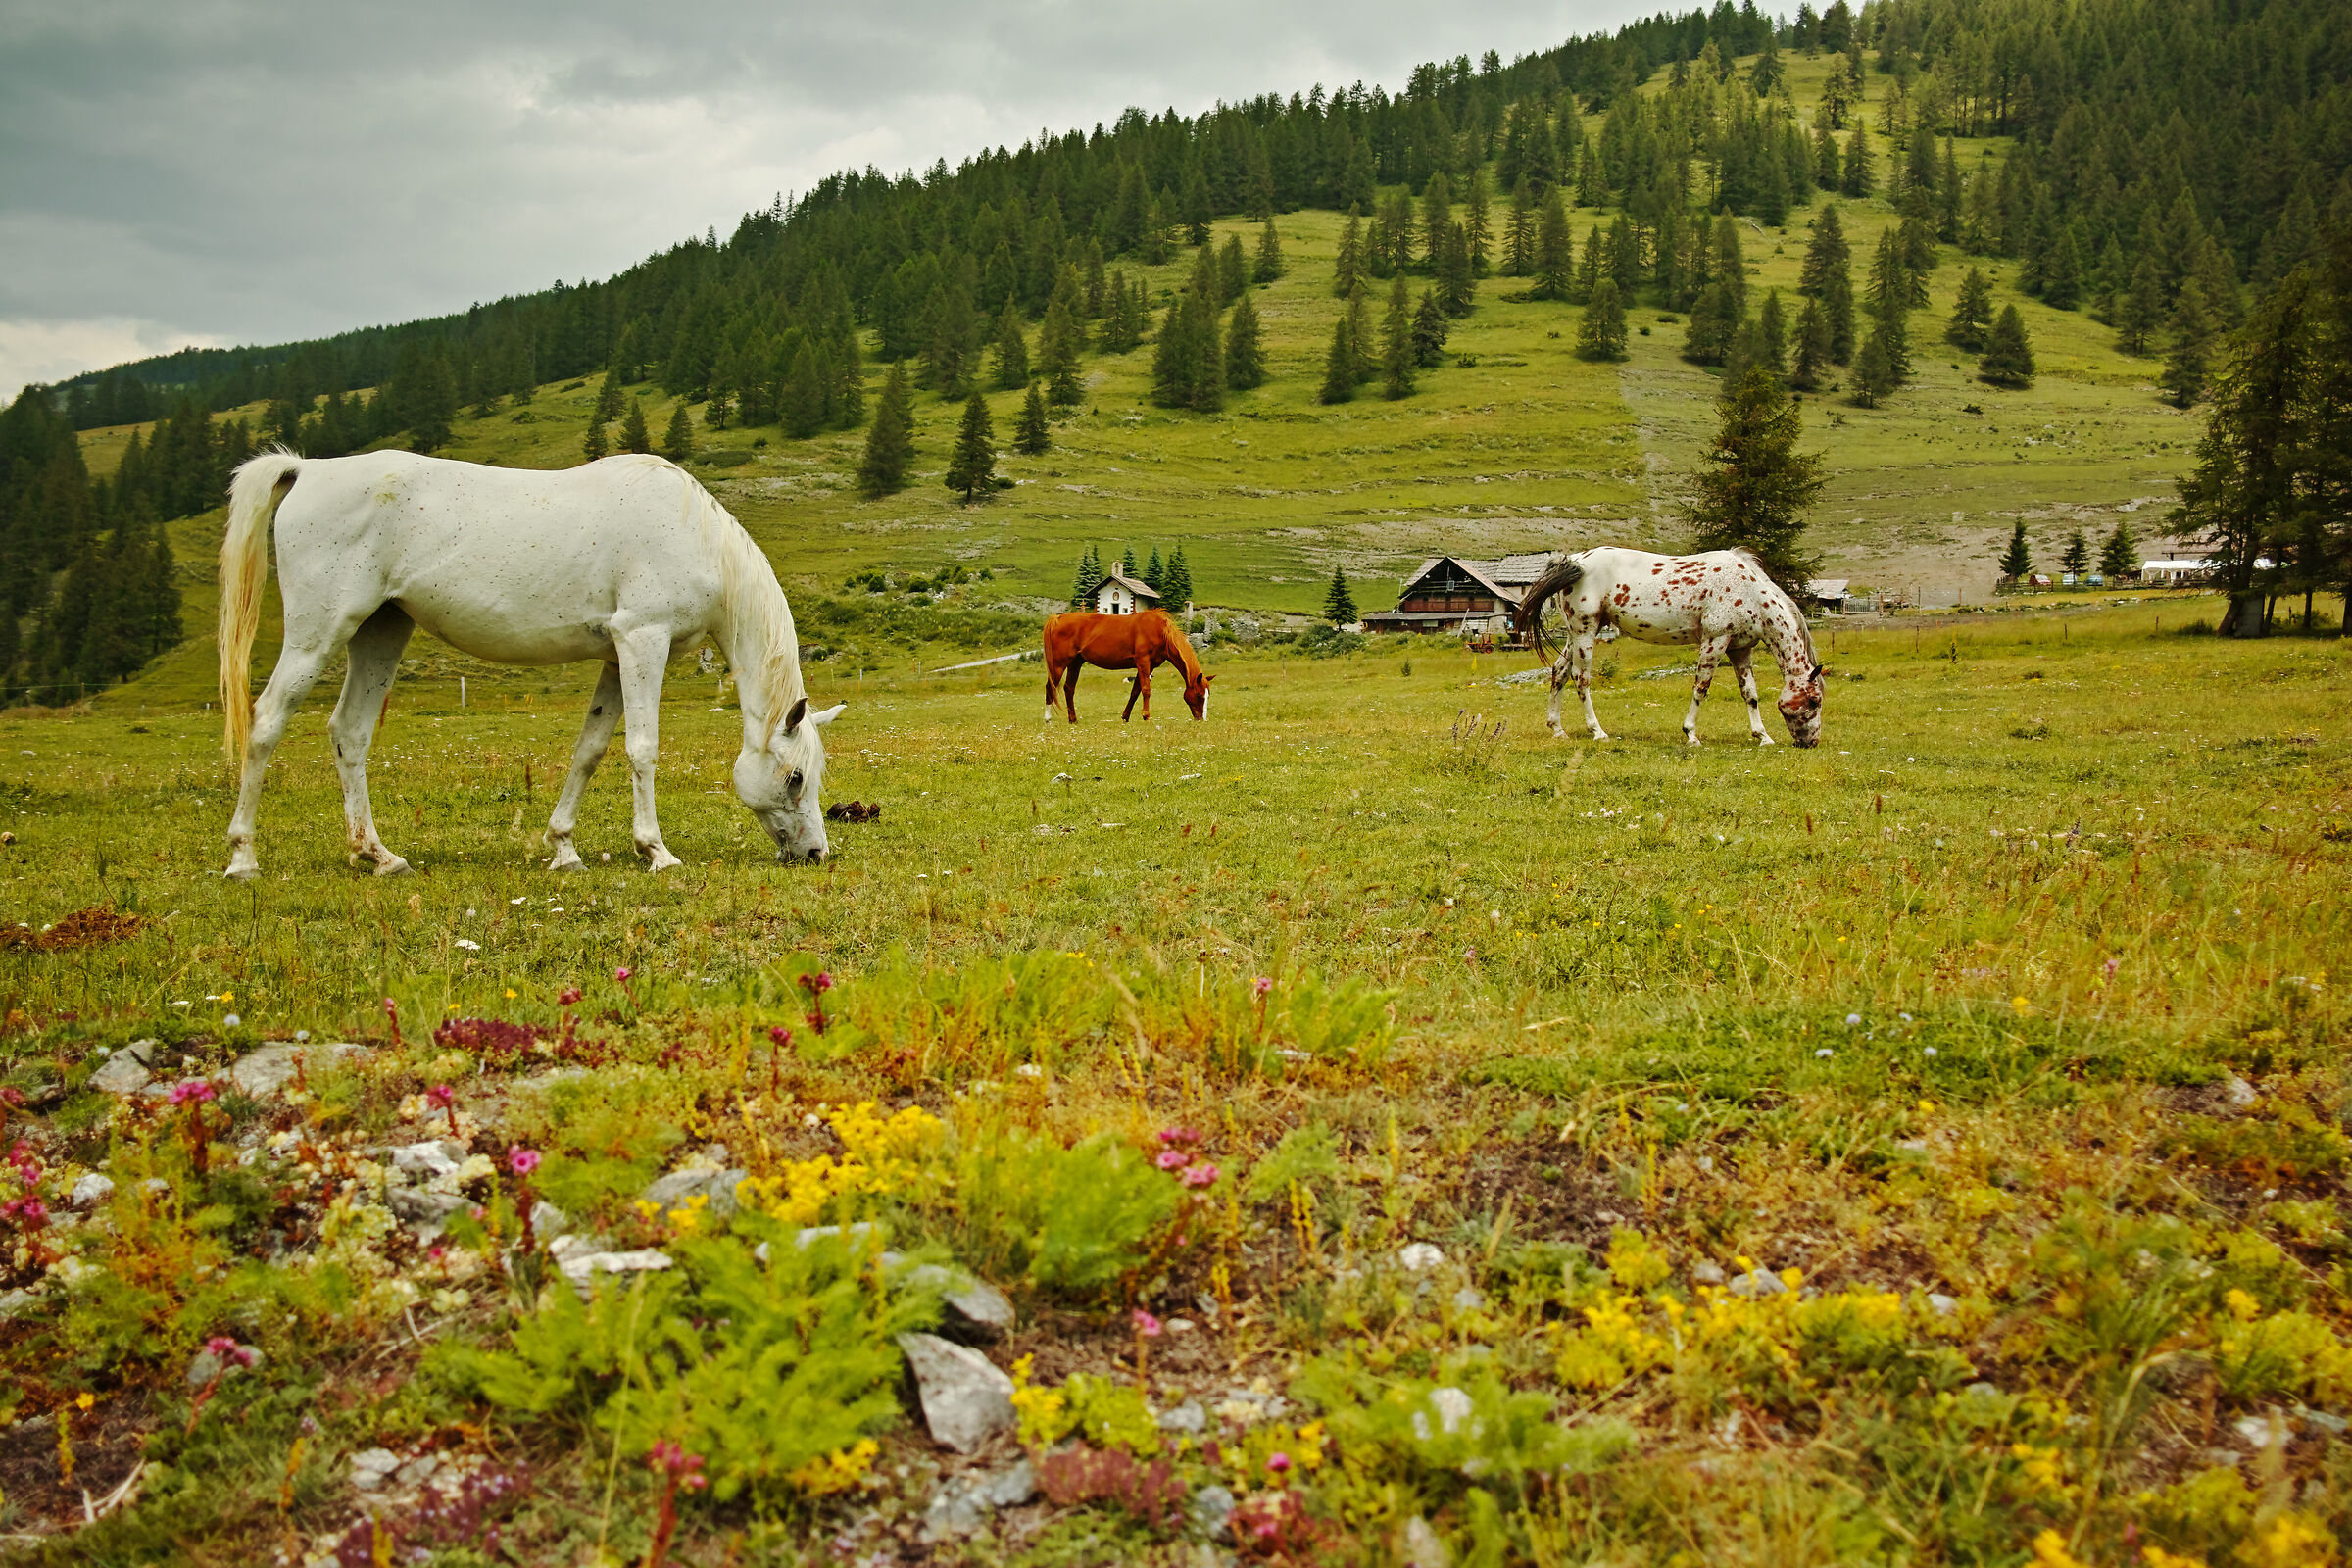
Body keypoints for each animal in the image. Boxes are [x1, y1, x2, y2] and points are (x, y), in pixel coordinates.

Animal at [216, 448, 844, 880]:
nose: (815, 851)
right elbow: (642, 749)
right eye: (794, 777)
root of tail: (307, 470)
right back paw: (243, 858)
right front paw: (656, 851)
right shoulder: (643, 640)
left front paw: (563, 847)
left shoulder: (615, 656)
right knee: (265, 722)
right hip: (318, 632)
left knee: (350, 733)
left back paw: (379, 855)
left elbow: (591, 749)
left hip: (380, 631)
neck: (695, 534)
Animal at [1040, 610, 1212, 724]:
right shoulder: (1143, 661)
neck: (1160, 631)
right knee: (1050, 687)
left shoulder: (1149, 666)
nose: (1201, 719)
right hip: (1059, 664)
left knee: (1069, 689)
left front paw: (1125, 717)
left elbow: (1135, 692)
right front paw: (1146, 716)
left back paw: (1073, 719)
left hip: (1075, 663)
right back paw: (1047, 719)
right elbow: (1146, 690)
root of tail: (1058, 618)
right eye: (1198, 695)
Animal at [1512, 546, 1826, 747]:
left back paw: (1558, 729)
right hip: (1585, 631)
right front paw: (1691, 734)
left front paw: (1763, 736)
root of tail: (1575, 561)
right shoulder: (1715, 640)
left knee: (1559, 672)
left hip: (1578, 633)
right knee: (1581, 678)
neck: (1748, 590)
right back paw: (1598, 731)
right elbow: (1702, 687)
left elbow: (1750, 694)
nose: (1811, 742)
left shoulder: (1740, 649)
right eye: (1814, 701)